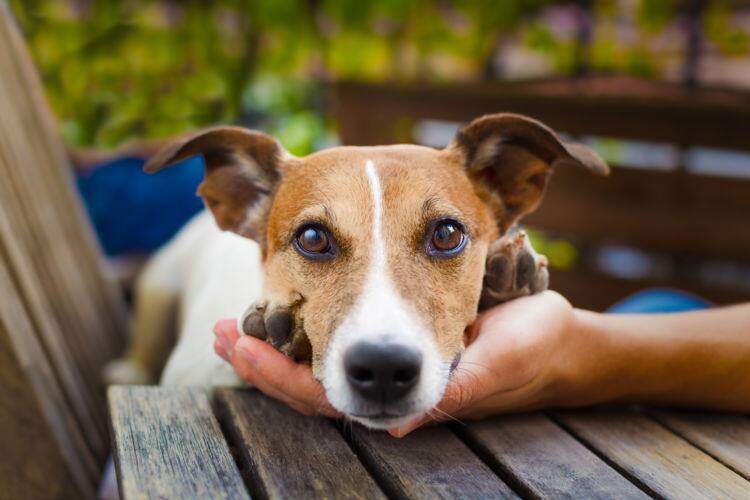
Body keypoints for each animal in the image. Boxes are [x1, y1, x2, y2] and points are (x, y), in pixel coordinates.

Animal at [104, 113, 612, 430]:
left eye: (447, 233)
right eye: (312, 238)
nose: (384, 367)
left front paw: (506, 279)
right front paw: (278, 333)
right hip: (160, 288)